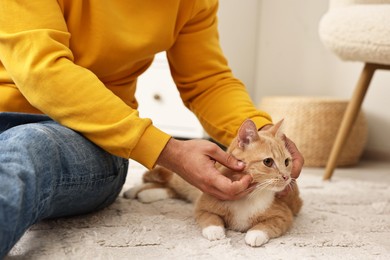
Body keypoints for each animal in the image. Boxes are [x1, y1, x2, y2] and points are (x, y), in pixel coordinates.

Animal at [126, 119, 304, 247]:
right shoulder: (203, 205)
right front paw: (215, 231)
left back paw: (145, 194)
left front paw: (255, 234)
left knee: (170, 189)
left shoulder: (284, 215)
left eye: (287, 161)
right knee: (169, 182)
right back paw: (134, 190)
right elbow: (210, 217)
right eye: (268, 162)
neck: (251, 195)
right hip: (184, 179)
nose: (286, 177)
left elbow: (268, 225)